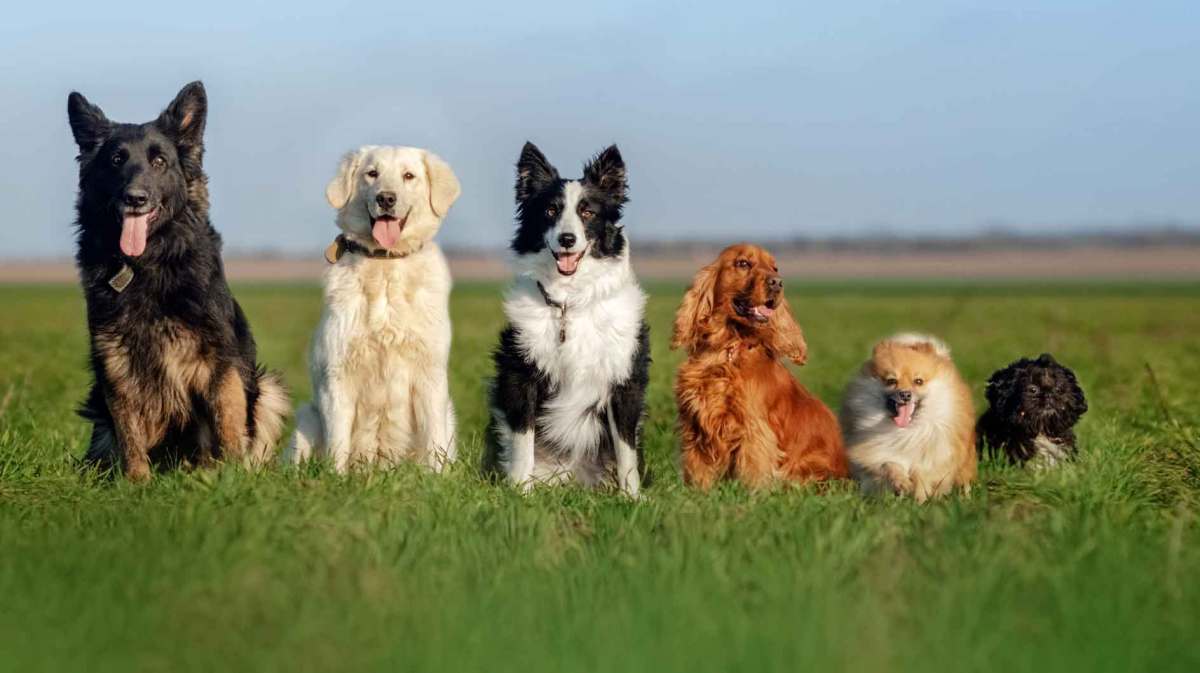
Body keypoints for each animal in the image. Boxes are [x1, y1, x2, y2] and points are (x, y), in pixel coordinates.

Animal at [68, 81, 290, 477]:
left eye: (159, 162)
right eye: (116, 161)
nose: (135, 198)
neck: (147, 264)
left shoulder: (219, 359)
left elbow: (228, 422)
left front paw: (230, 477)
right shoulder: (115, 358)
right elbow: (129, 432)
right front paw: (137, 482)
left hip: (269, 389)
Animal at [285, 146, 463, 472]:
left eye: (409, 175)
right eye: (372, 173)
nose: (386, 198)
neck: (385, 263)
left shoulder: (430, 375)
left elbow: (434, 441)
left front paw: (437, 479)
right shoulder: (337, 376)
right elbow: (338, 443)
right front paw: (336, 478)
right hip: (308, 418)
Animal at [480, 141, 648, 494]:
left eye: (588, 212)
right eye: (550, 211)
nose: (567, 239)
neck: (570, 302)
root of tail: (572, 476)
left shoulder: (624, 378)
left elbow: (626, 451)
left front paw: (631, 498)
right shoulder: (520, 374)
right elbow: (523, 441)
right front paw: (520, 492)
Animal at [672, 241, 849, 487]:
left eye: (775, 268)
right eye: (743, 263)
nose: (777, 282)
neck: (728, 348)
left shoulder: (754, 428)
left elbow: (753, 469)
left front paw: (751, 493)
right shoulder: (696, 423)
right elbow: (698, 468)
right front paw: (698, 491)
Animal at [844, 331, 974, 499]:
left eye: (918, 381)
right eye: (891, 381)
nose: (905, 394)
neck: (906, 430)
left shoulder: (935, 456)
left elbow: (921, 472)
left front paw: (919, 496)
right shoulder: (874, 455)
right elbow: (888, 464)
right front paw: (901, 483)